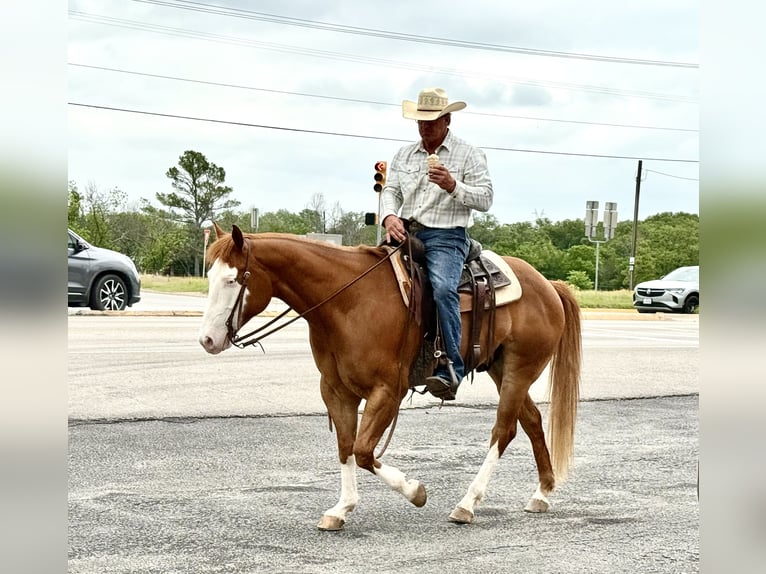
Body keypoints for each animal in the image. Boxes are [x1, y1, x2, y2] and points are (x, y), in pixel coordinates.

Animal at [198, 223, 582, 530]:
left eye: (232, 280)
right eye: (210, 278)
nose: (207, 340)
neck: (346, 302)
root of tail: (548, 285)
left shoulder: (387, 390)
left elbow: (364, 450)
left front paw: (415, 492)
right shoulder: (336, 391)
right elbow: (346, 447)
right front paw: (341, 509)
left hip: (520, 368)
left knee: (504, 430)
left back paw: (467, 504)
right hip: (502, 369)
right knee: (531, 421)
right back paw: (542, 493)